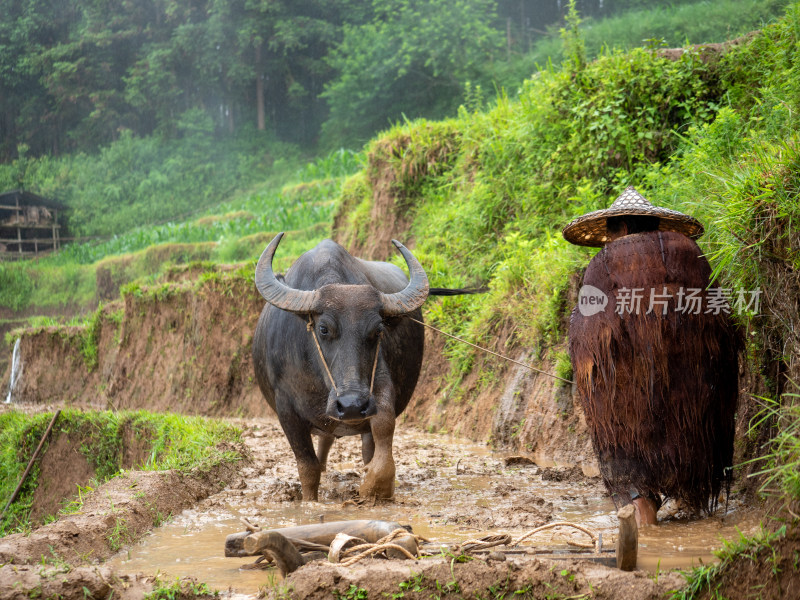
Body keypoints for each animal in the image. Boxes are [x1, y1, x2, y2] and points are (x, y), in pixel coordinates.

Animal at [253, 232, 428, 500]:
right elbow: (308, 467)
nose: (351, 405)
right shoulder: (286, 410)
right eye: (323, 328)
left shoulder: (378, 386)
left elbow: (384, 426)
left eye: (378, 330)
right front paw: (310, 502)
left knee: (363, 446)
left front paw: (375, 485)